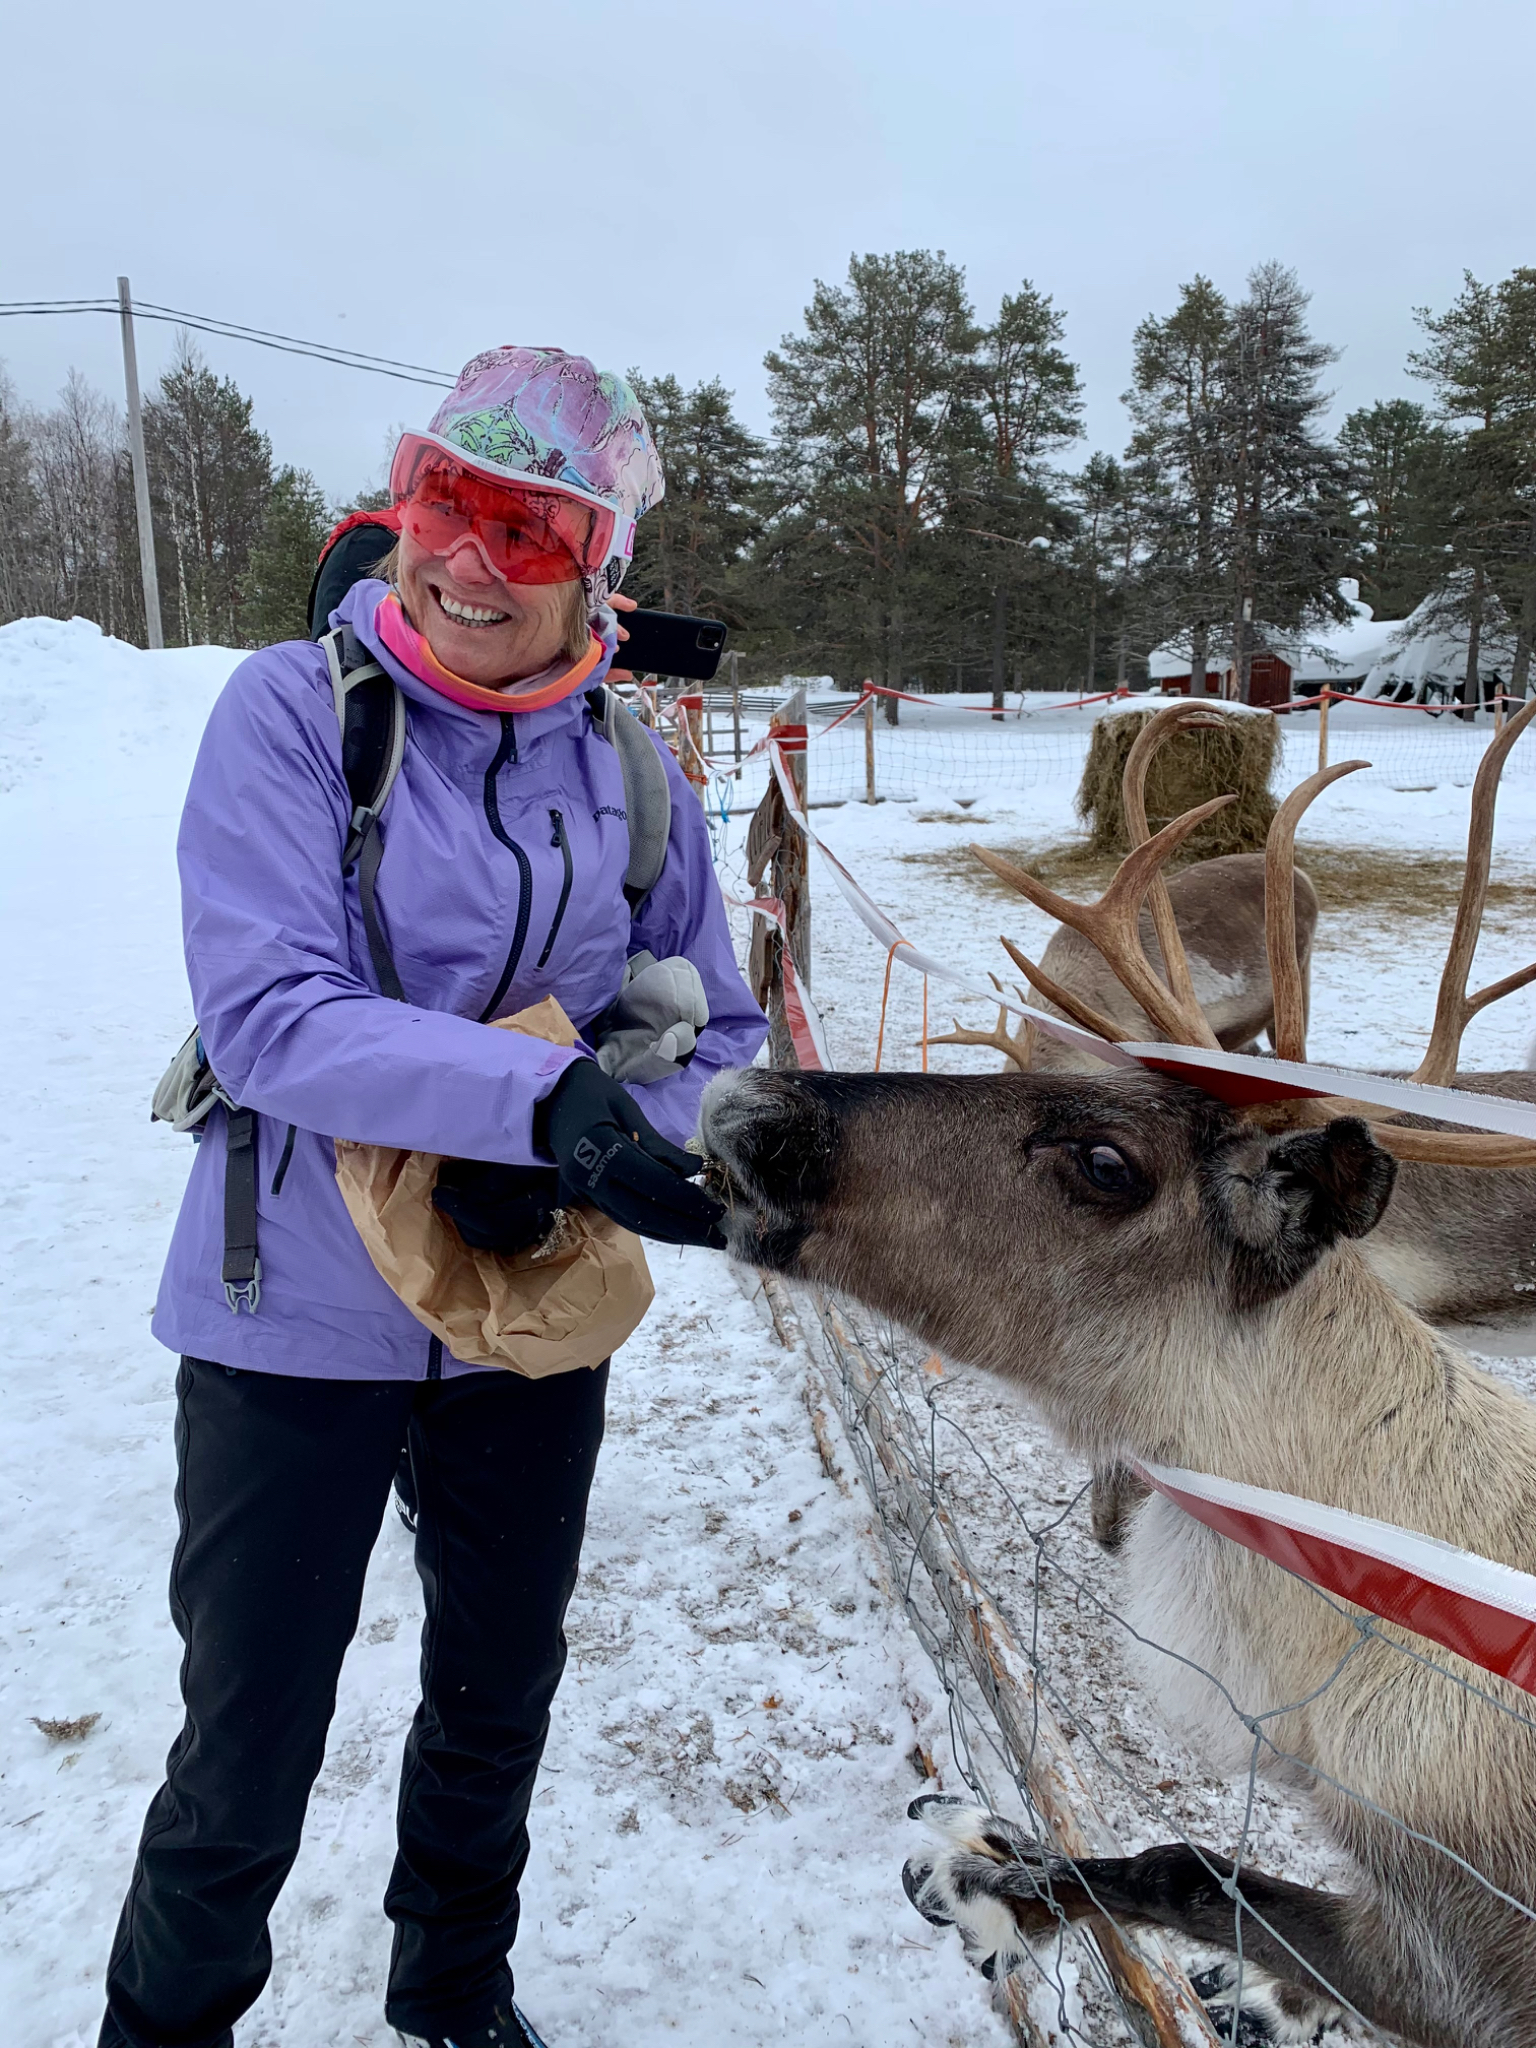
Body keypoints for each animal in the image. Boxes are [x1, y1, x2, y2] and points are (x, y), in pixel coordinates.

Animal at [698, 697, 1536, 2048]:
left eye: (1105, 1160)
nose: (747, 1101)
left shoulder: (1459, 1957)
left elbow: (1184, 1866)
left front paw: (992, 1888)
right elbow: (1192, 1870)